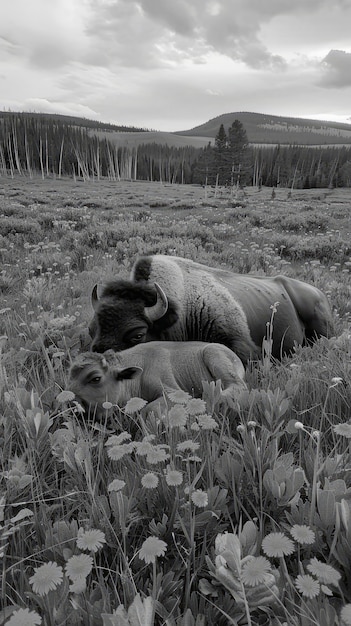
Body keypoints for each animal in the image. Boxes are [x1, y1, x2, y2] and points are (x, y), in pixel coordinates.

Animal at [69, 342, 248, 414]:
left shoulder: (171, 391)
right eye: (70, 376)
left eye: (96, 378)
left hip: (212, 354)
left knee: (237, 385)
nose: (73, 404)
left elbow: (148, 409)